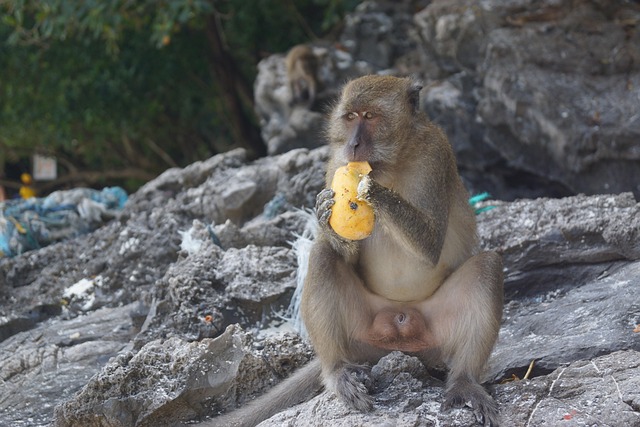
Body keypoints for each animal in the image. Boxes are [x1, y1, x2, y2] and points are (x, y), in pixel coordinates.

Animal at [198, 75, 503, 427]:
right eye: (350, 117)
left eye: (369, 117)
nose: (354, 145)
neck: (391, 162)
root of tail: (401, 328)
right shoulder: (335, 162)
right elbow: (341, 252)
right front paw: (324, 217)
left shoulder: (435, 154)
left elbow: (430, 246)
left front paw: (373, 191)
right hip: (362, 333)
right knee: (322, 256)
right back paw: (337, 371)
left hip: (435, 327)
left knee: (488, 266)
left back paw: (464, 381)